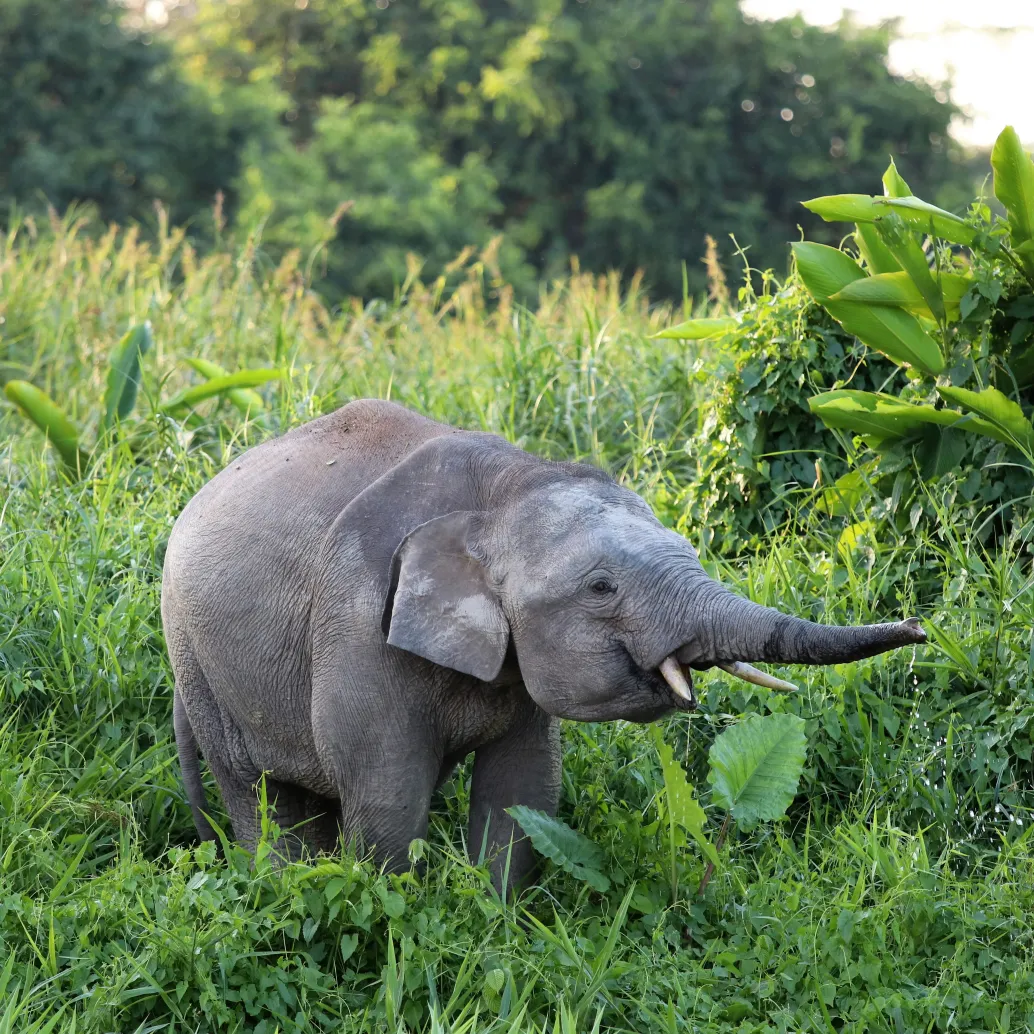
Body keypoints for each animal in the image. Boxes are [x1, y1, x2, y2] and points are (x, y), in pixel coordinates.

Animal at [163, 397, 930, 889]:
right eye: (601, 588)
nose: (921, 626)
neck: (504, 486)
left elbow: (524, 789)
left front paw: (492, 917)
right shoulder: (357, 627)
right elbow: (387, 796)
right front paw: (392, 913)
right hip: (197, 663)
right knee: (261, 797)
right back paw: (280, 887)